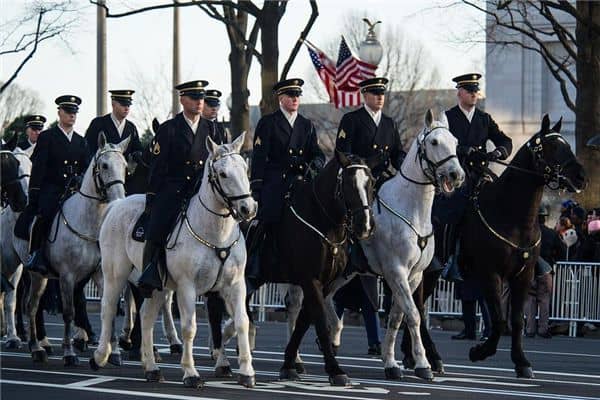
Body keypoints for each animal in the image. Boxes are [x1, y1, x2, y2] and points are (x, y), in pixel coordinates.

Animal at [10, 134, 130, 366]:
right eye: (104, 165)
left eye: (125, 166)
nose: (120, 199)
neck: (89, 221)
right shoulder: (67, 276)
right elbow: (68, 312)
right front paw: (69, 353)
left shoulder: (100, 275)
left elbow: (109, 308)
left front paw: (114, 353)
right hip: (24, 268)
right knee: (26, 304)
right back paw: (32, 345)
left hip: (40, 276)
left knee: (32, 305)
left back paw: (37, 347)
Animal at [92, 134, 258, 388]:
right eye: (222, 174)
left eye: (244, 169)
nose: (248, 208)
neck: (215, 232)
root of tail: (117, 205)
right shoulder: (187, 286)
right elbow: (189, 328)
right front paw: (190, 372)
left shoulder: (235, 285)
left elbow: (241, 321)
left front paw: (247, 372)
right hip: (115, 274)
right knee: (108, 308)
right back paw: (102, 355)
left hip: (157, 286)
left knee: (146, 317)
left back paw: (151, 368)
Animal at [322, 111, 466, 380]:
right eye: (434, 142)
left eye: (455, 141)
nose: (457, 175)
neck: (411, 209)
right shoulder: (395, 271)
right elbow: (413, 315)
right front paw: (422, 363)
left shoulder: (413, 276)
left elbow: (397, 318)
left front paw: (390, 362)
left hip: (345, 273)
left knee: (325, 297)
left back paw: (333, 337)